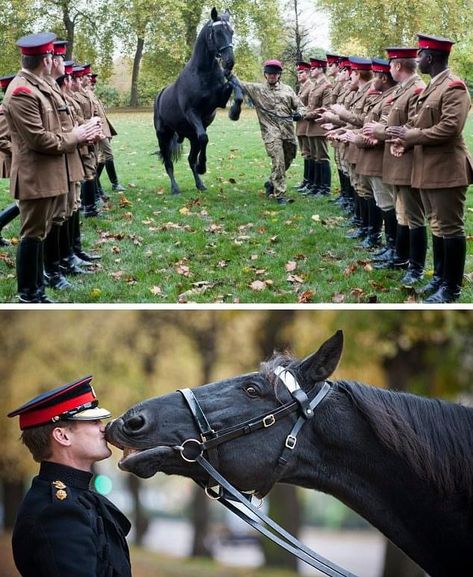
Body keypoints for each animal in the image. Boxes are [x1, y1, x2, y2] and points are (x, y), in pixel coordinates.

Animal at [155, 7, 242, 196]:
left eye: (231, 31)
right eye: (217, 32)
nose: (229, 62)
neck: (202, 73)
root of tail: (160, 94)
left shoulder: (219, 102)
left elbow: (236, 89)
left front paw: (235, 112)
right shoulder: (192, 113)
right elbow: (204, 137)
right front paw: (203, 167)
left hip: (190, 135)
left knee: (190, 159)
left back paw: (200, 184)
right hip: (163, 135)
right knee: (168, 162)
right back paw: (175, 188)